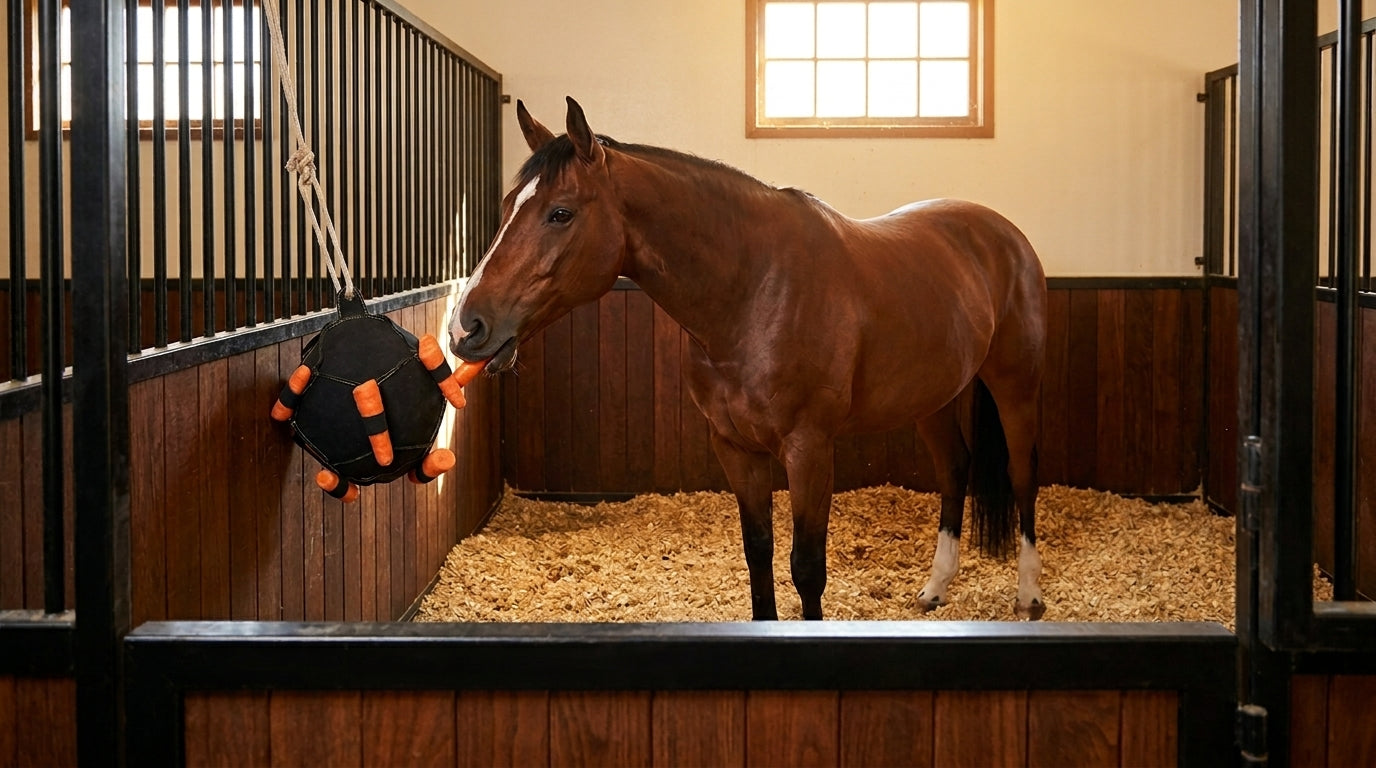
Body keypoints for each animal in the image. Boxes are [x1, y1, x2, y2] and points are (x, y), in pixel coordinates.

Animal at [450, 97, 1048, 621]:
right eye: (507, 208)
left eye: (560, 213)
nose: (465, 326)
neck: (756, 289)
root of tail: (1004, 235)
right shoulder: (735, 448)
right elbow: (758, 551)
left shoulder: (809, 450)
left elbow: (807, 567)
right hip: (932, 398)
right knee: (955, 468)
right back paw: (935, 588)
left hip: (1016, 385)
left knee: (1022, 474)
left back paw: (1028, 595)